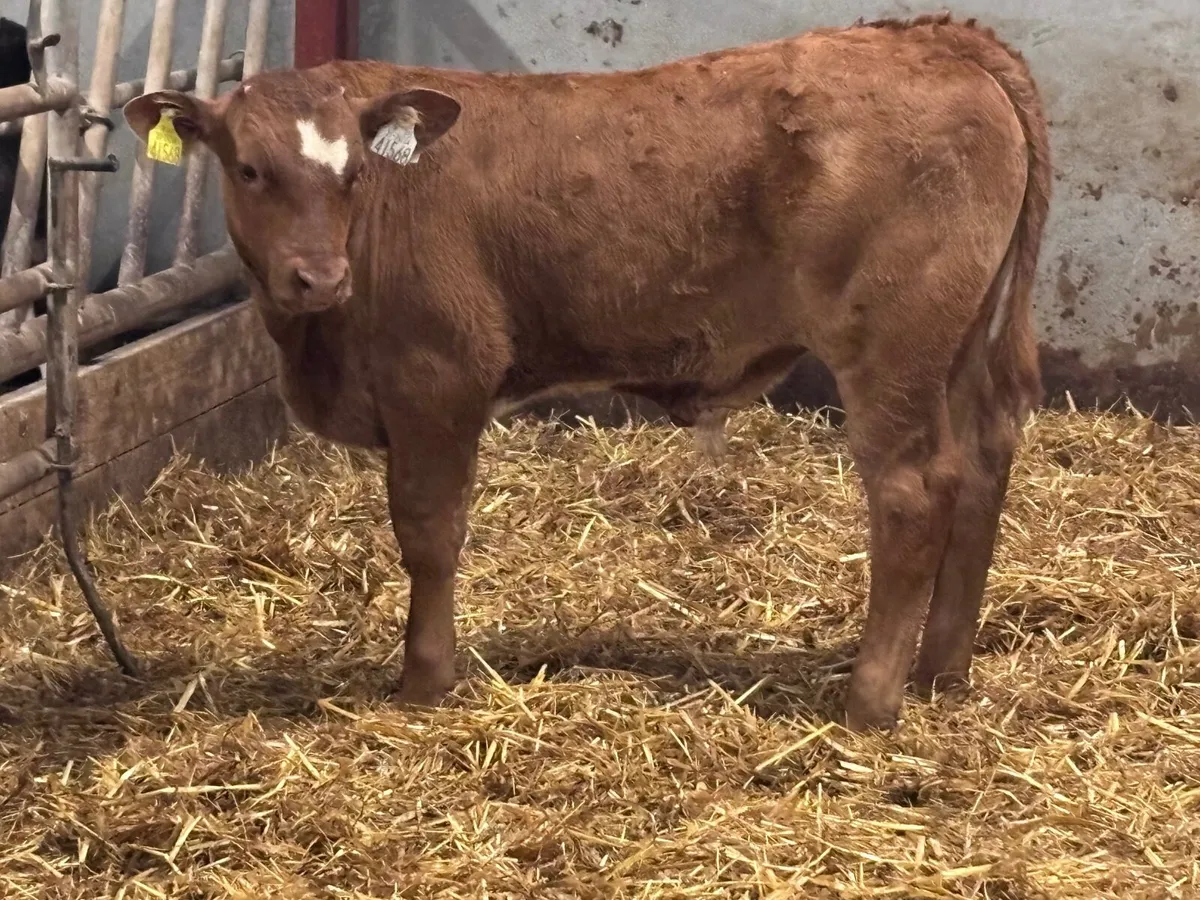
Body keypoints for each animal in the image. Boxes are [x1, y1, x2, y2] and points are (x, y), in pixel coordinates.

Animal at [122, 13, 1050, 731]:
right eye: (249, 168)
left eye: (354, 172)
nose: (319, 277)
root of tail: (927, 35)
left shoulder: (439, 377)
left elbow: (428, 532)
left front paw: (425, 679)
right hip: (962, 347)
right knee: (982, 465)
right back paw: (941, 671)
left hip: (892, 348)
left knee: (913, 492)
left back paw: (871, 698)